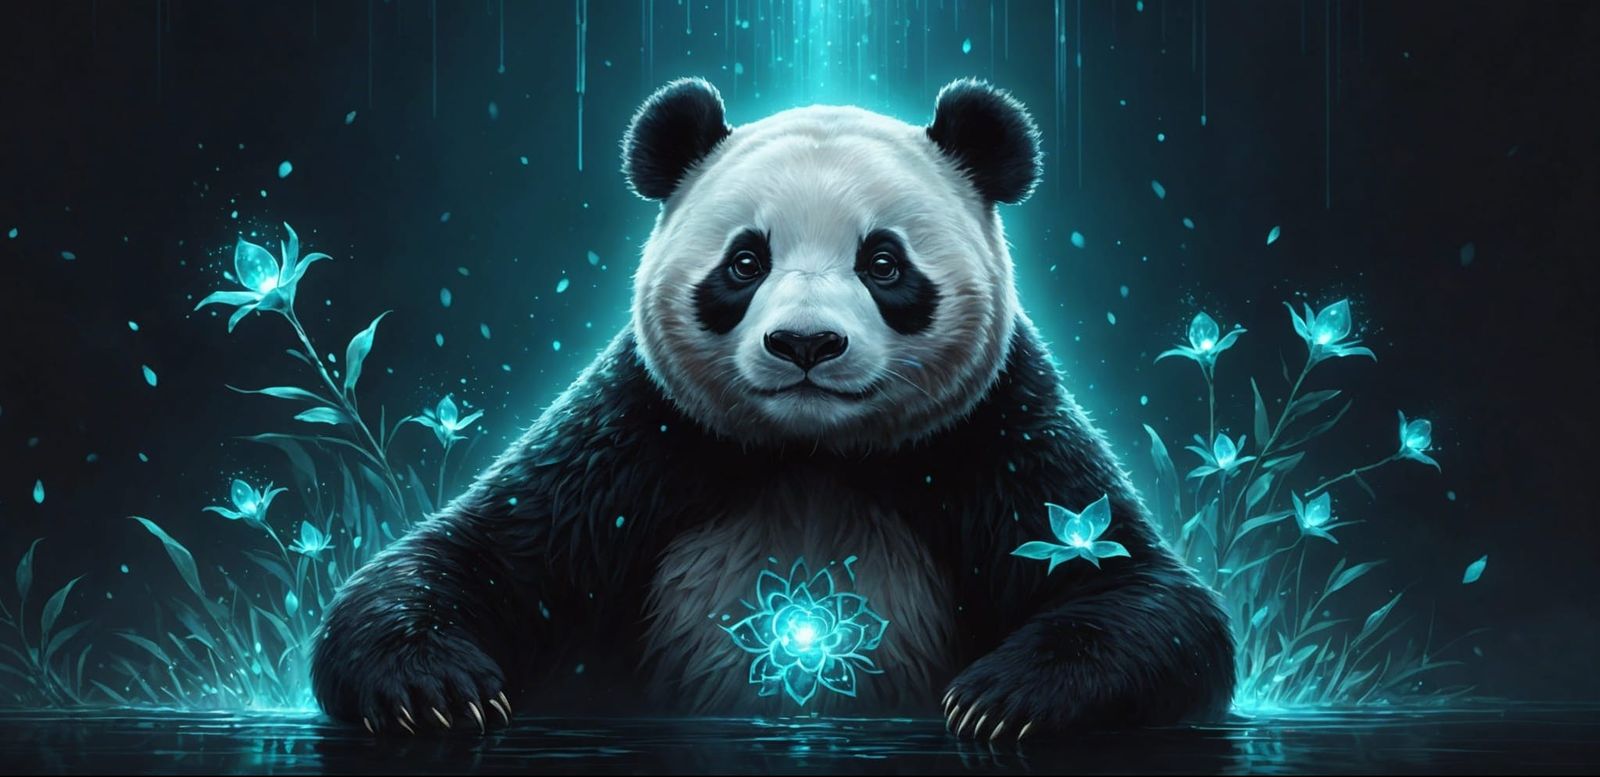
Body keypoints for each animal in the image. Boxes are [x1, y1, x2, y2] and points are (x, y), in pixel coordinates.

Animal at [311, 77, 1235, 740]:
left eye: (884, 262)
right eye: (745, 261)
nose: (805, 344)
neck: (812, 454)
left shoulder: (994, 431)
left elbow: (1139, 589)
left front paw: (1003, 699)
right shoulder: (638, 436)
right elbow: (481, 557)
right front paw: (437, 688)